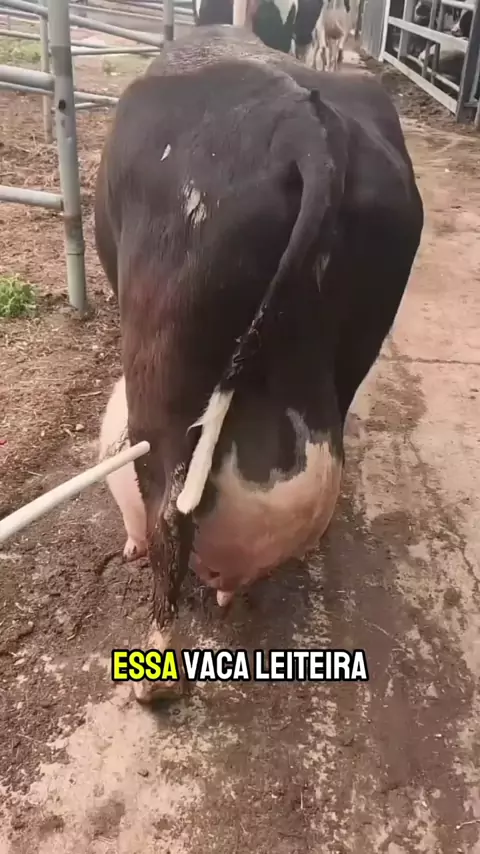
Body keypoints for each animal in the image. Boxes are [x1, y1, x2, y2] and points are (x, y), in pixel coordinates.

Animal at [94, 25, 424, 705]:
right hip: (348, 350)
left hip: (162, 366)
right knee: (316, 460)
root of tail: (305, 126)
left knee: (169, 507)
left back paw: (155, 673)